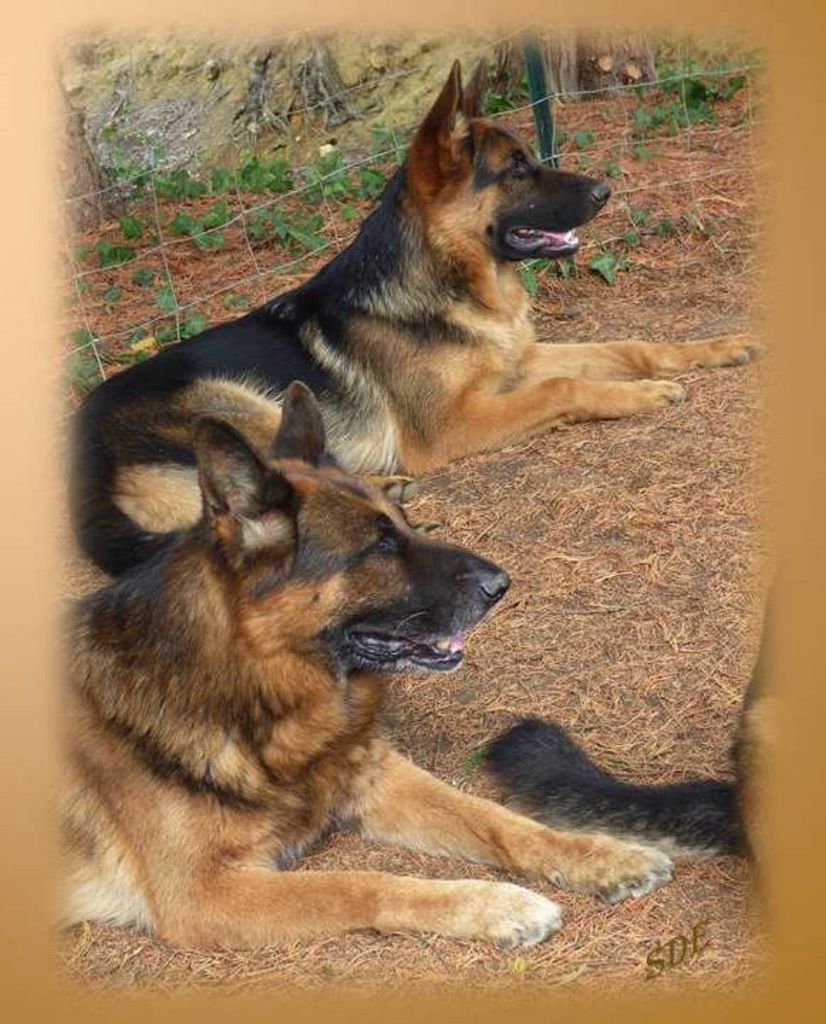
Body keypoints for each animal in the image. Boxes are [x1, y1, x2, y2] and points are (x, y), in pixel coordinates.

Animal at [61, 385, 675, 950]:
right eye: (378, 547)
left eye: (404, 525)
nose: (502, 585)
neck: (257, 691)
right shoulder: (205, 894)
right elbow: (362, 883)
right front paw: (495, 905)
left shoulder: (378, 776)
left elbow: (495, 818)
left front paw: (600, 855)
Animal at [68, 59, 757, 581]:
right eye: (516, 168)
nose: (605, 192)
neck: (450, 283)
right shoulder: (453, 425)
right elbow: (566, 387)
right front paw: (644, 395)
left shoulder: (521, 360)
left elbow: (630, 345)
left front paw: (713, 347)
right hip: (242, 403)